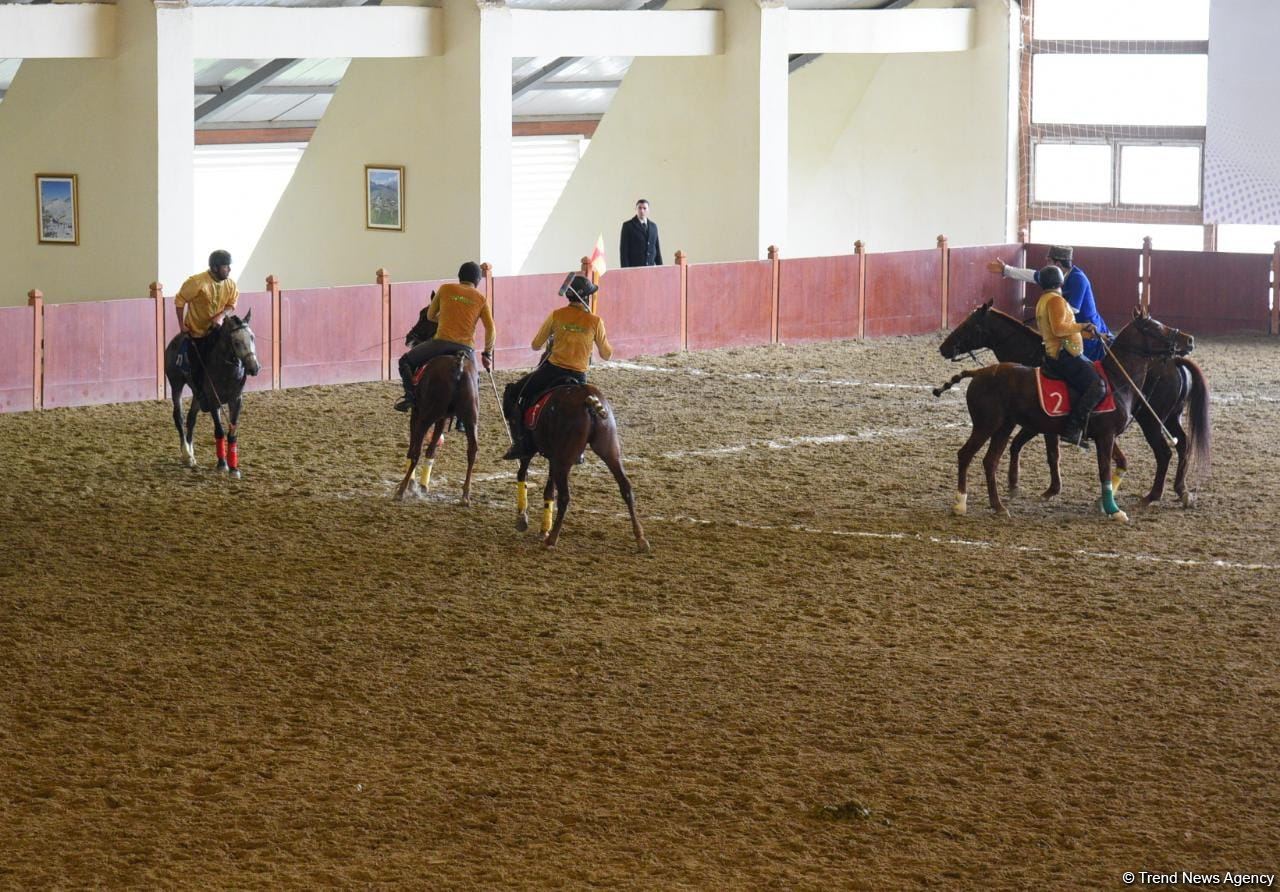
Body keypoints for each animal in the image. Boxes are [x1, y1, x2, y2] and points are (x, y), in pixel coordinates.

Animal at [163, 309, 261, 476]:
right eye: (236, 342)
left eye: (252, 337)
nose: (254, 368)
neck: (226, 368)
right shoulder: (213, 399)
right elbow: (219, 430)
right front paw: (222, 464)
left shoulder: (236, 400)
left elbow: (232, 432)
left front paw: (234, 468)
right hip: (176, 384)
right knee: (179, 417)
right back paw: (187, 454)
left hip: (197, 393)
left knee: (191, 419)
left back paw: (191, 453)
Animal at [391, 350, 478, 504]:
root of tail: (459, 366)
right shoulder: (442, 418)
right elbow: (432, 449)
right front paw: (423, 486)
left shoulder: (416, 414)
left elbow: (413, 448)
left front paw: (413, 484)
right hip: (471, 419)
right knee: (472, 451)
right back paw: (465, 495)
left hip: (426, 418)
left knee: (416, 452)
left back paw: (401, 490)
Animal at [512, 383, 650, 550]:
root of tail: (588, 397)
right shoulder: (552, 457)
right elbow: (548, 489)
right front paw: (543, 528)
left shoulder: (533, 451)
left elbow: (523, 473)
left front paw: (523, 517)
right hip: (610, 451)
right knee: (626, 488)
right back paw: (640, 538)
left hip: (563, 462)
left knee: (564, 497)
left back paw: (552, 539)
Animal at [936, 309, 1203, 522]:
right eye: (1155, 327)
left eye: (969, 324)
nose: (1188, 339)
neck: (1116, 378)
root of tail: (978, 373)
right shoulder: (1102, 435)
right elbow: (1099, 469)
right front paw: (1111, 508)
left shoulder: (1103, 435)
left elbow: (1116, 464)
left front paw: (1102, 503)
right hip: (987, 424)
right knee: (966, 455)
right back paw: (961, 504)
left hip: (1003, 426)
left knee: (988, 461)